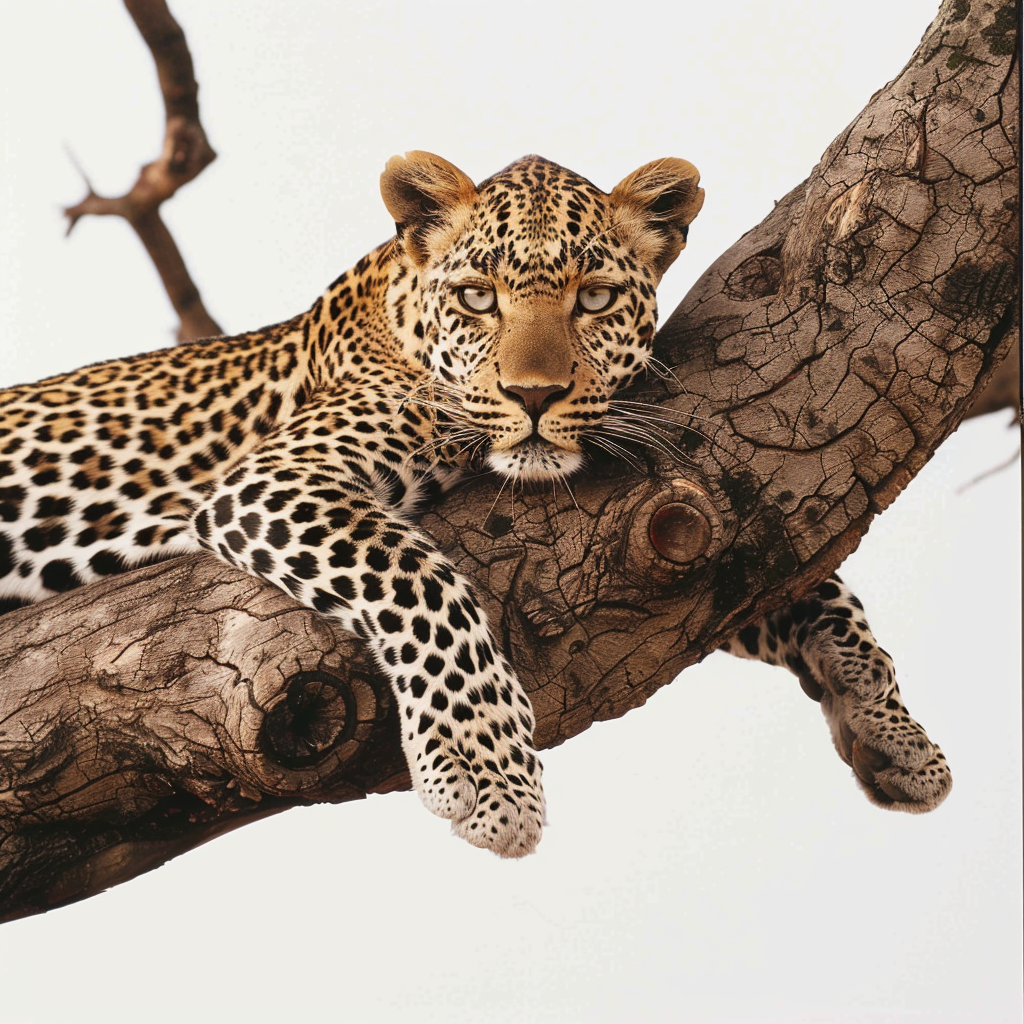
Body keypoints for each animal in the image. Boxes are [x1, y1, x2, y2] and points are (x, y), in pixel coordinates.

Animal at [0, 152, 949, 859]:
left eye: (594, 298)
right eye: (478, 298)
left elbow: (797, 581)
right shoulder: (274, 477)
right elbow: (421, 581)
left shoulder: (676, 532)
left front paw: (894, 730)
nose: (534, 395)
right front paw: (486, 774)